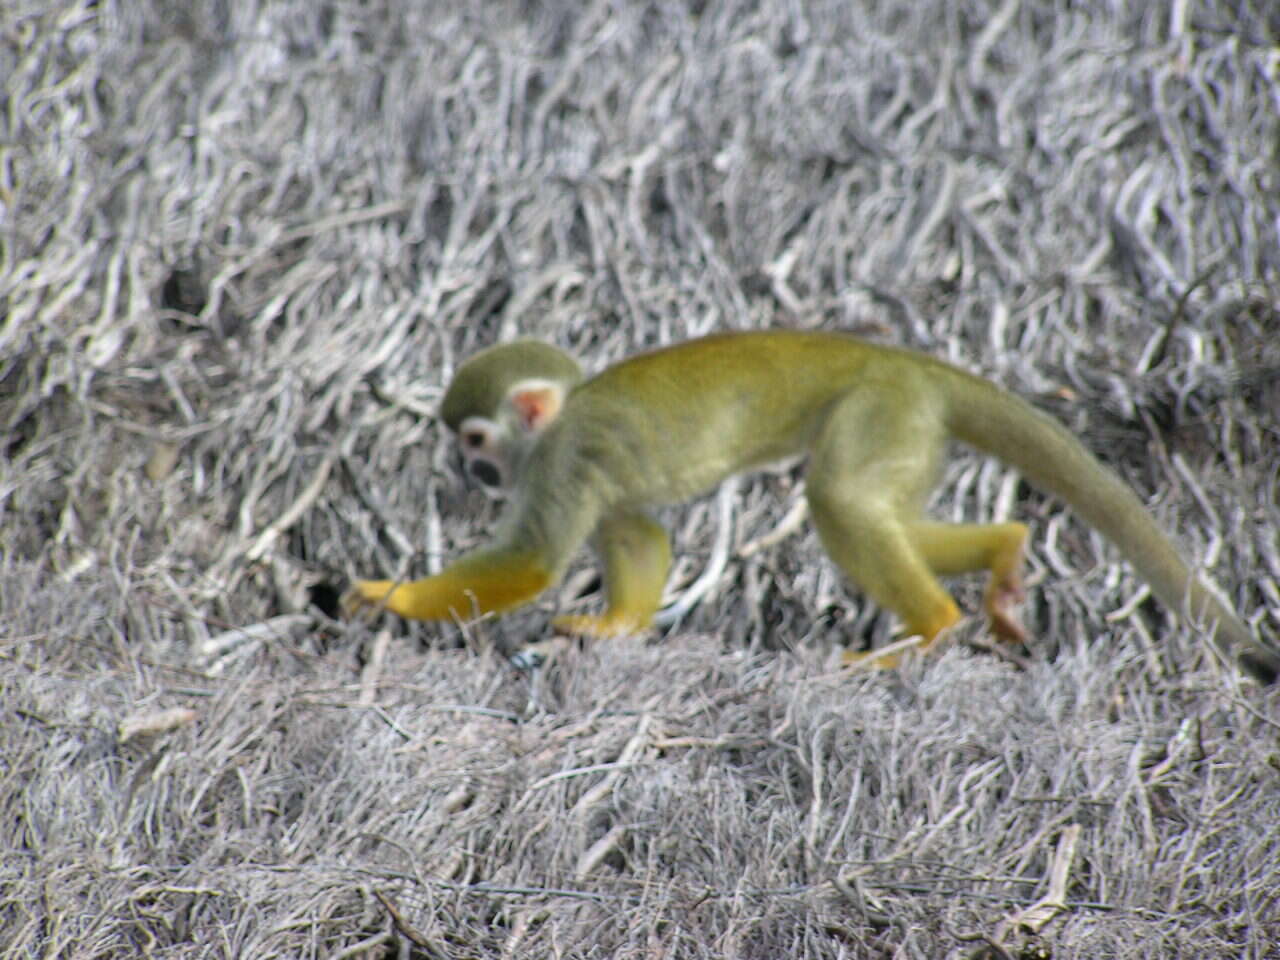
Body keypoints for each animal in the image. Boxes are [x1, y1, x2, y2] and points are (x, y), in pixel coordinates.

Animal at [345, 330, 1280, 686]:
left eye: (476, 440)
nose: (471, 474)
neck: (558, 422)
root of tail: (911, 362)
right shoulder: (585, 476)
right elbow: (637, 532)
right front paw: (617, 625)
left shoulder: (562, 462)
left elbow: (534, 562)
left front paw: (387, 595)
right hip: (912, 425)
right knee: (876, 502)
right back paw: (1005, 553)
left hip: (879, 406)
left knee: (840, 497)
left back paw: (933, 626)